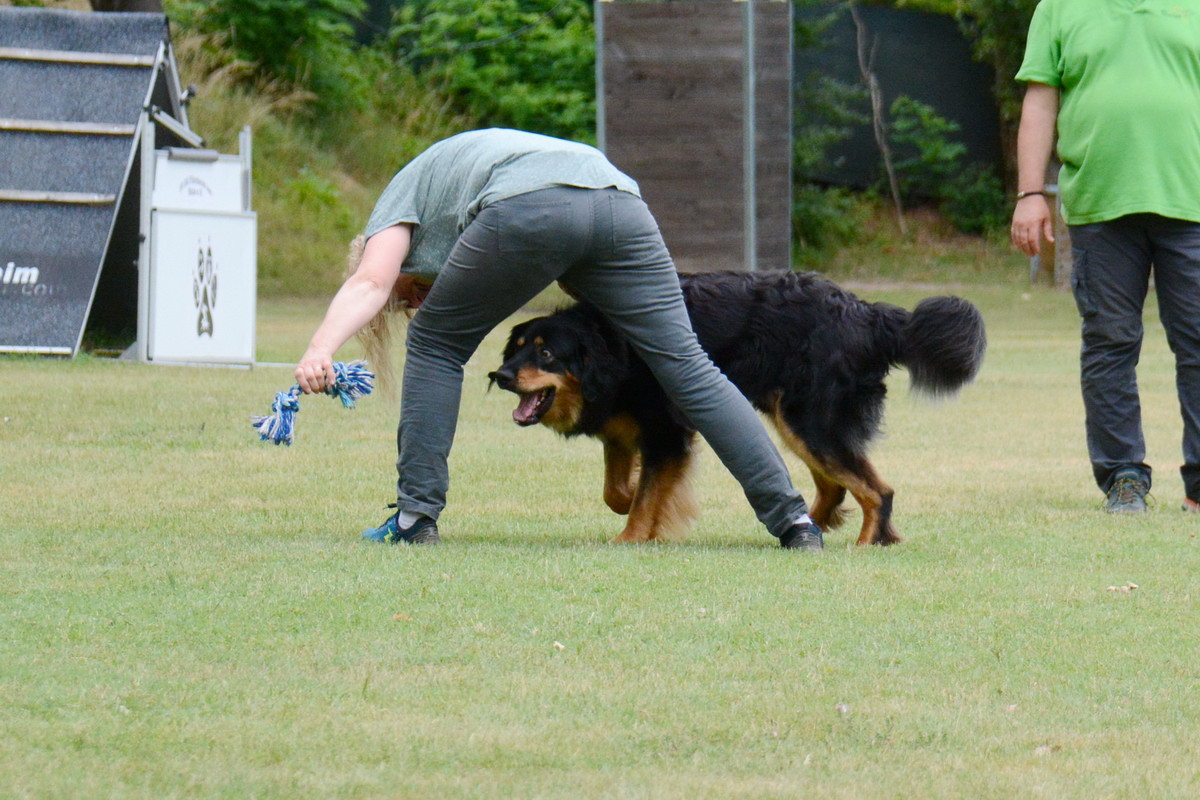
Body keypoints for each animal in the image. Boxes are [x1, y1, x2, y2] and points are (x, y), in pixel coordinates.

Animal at [487, 272, 984, 546]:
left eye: (546, 353)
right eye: (516, 349)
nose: (501, 375)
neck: (611, 349)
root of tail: (865, 313)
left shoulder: (666, 431)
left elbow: (644, 499)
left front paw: (630, 537)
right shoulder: (625, 430)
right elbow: (617, 491)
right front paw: (638, 499)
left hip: (810, 420)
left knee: (878, 491)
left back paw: (865, 543)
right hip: (796, 421)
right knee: (836, 485)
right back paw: (815, 523)